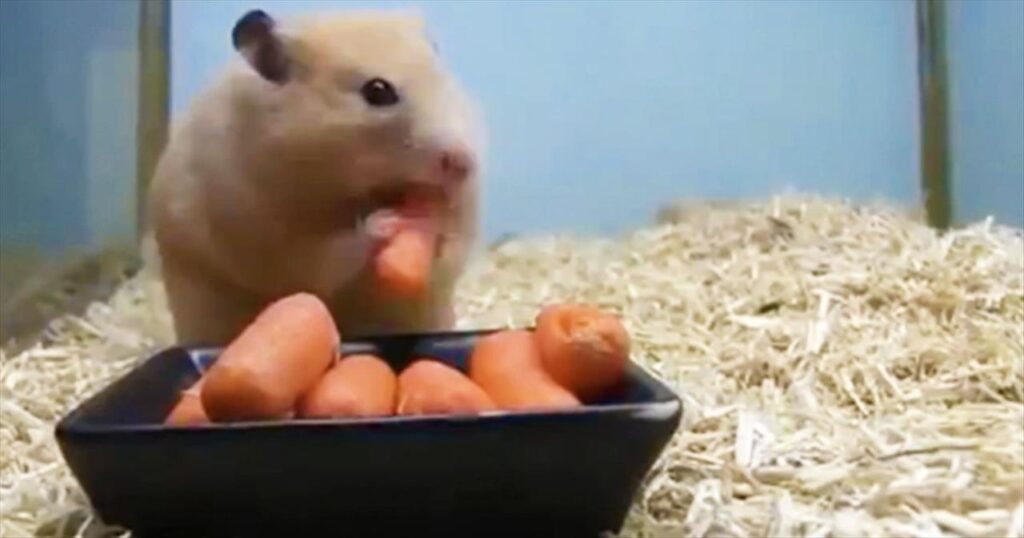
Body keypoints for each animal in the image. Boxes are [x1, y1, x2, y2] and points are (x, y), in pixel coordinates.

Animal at [146, 9, 485, 345]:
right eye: (377, 91)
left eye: (441, 72)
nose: (464, 162)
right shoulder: (271, 237)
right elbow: (329, 257)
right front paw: (389, 222)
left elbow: (451, 247)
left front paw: (434, 227)